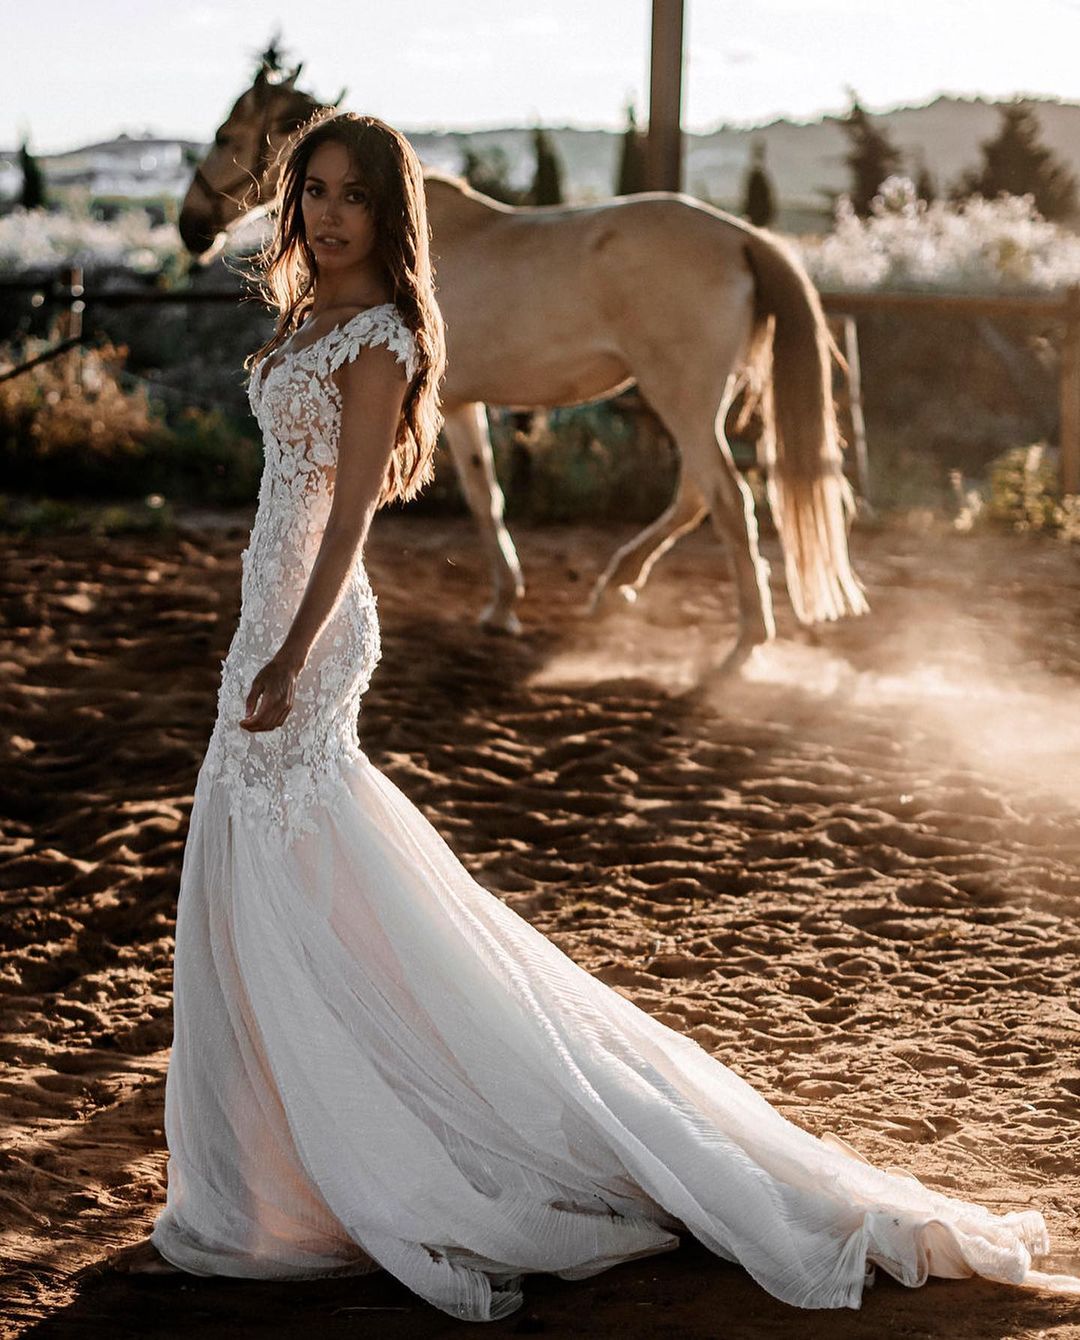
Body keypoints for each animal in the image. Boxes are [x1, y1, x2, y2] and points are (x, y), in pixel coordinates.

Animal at [179, 62, 873, 670]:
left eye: (225, 136)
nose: (191, 226)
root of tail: (741, 236)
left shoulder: (446, 404)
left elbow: (482, 498)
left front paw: (502, 604)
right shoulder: (462, 404)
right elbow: (489, 493)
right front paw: (505, 604)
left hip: (682, 397)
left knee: (727, 499)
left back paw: (745, 640)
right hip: (699, 403)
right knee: (696, 495)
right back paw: (616, 586)